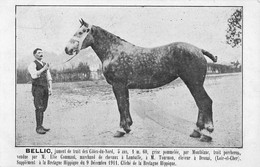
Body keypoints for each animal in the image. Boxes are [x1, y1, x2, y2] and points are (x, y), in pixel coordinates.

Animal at [65, 19, 217, 142]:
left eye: (81, 32)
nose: (67, 49)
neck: (114, 51)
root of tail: (199, 50)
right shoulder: (123, 87)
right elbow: (125, 105)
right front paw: (127, 127)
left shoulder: (118, 85)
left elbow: (121, 106)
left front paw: (120, 130)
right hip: (193, 83)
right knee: (200, 104)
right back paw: (196, 131)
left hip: (193, 83)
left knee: (205, 102)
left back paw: (207, 134)